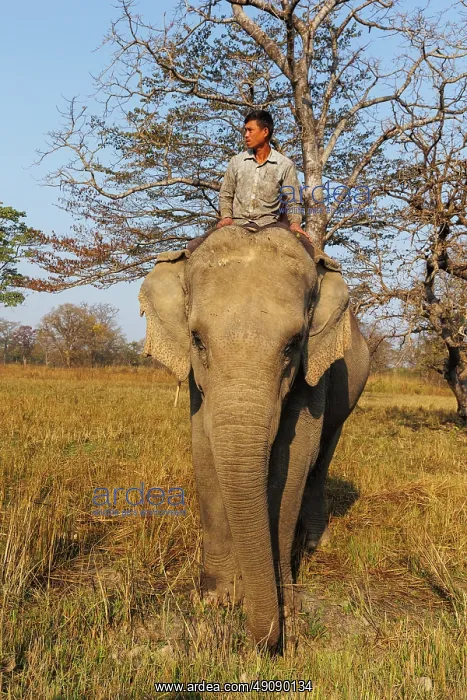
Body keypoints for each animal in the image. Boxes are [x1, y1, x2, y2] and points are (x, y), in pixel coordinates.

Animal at [138, 225, 370, 651]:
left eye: (294, 343)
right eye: (196, 340)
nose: (265, 642)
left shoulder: (313, 376)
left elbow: (294, 462)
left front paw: (286, 611)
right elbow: (204, 449)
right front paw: (216, 600)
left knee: (322, 459)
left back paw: (315, 545)